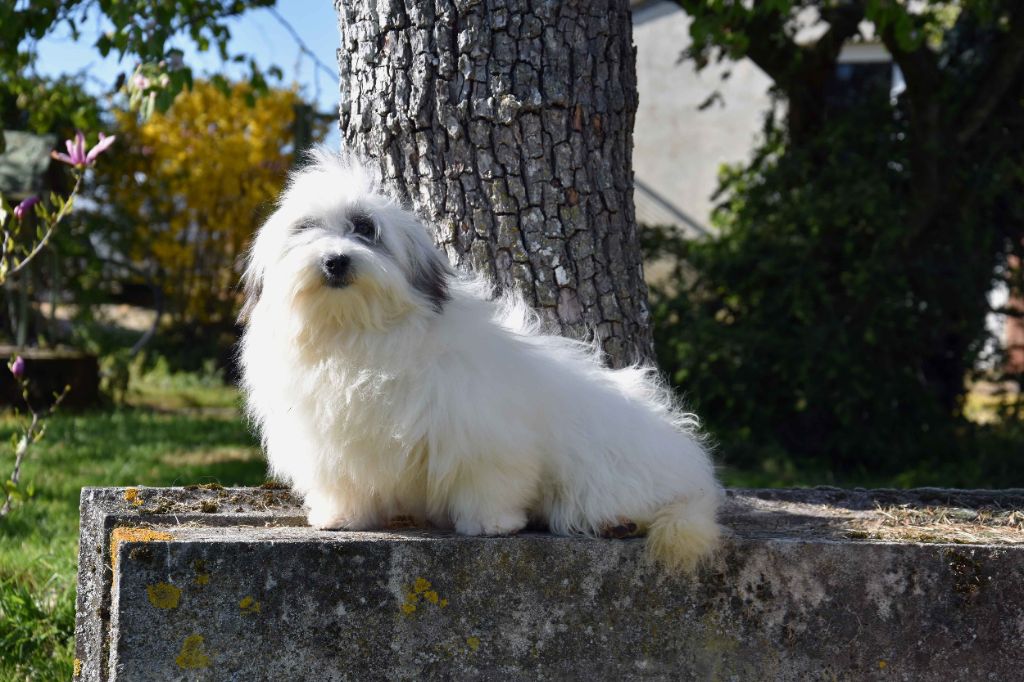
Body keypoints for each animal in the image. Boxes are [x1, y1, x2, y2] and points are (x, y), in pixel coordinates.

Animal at [238, 152, 724, 569]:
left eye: (365, 229)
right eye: (306, 229)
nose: (336, 260)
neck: (354, 330)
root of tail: (691, 475)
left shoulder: (483, 432)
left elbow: (489, 479)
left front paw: (492, 524)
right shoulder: (334, 439)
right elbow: (347, 482)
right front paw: (342, 517)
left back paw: (617, 522)